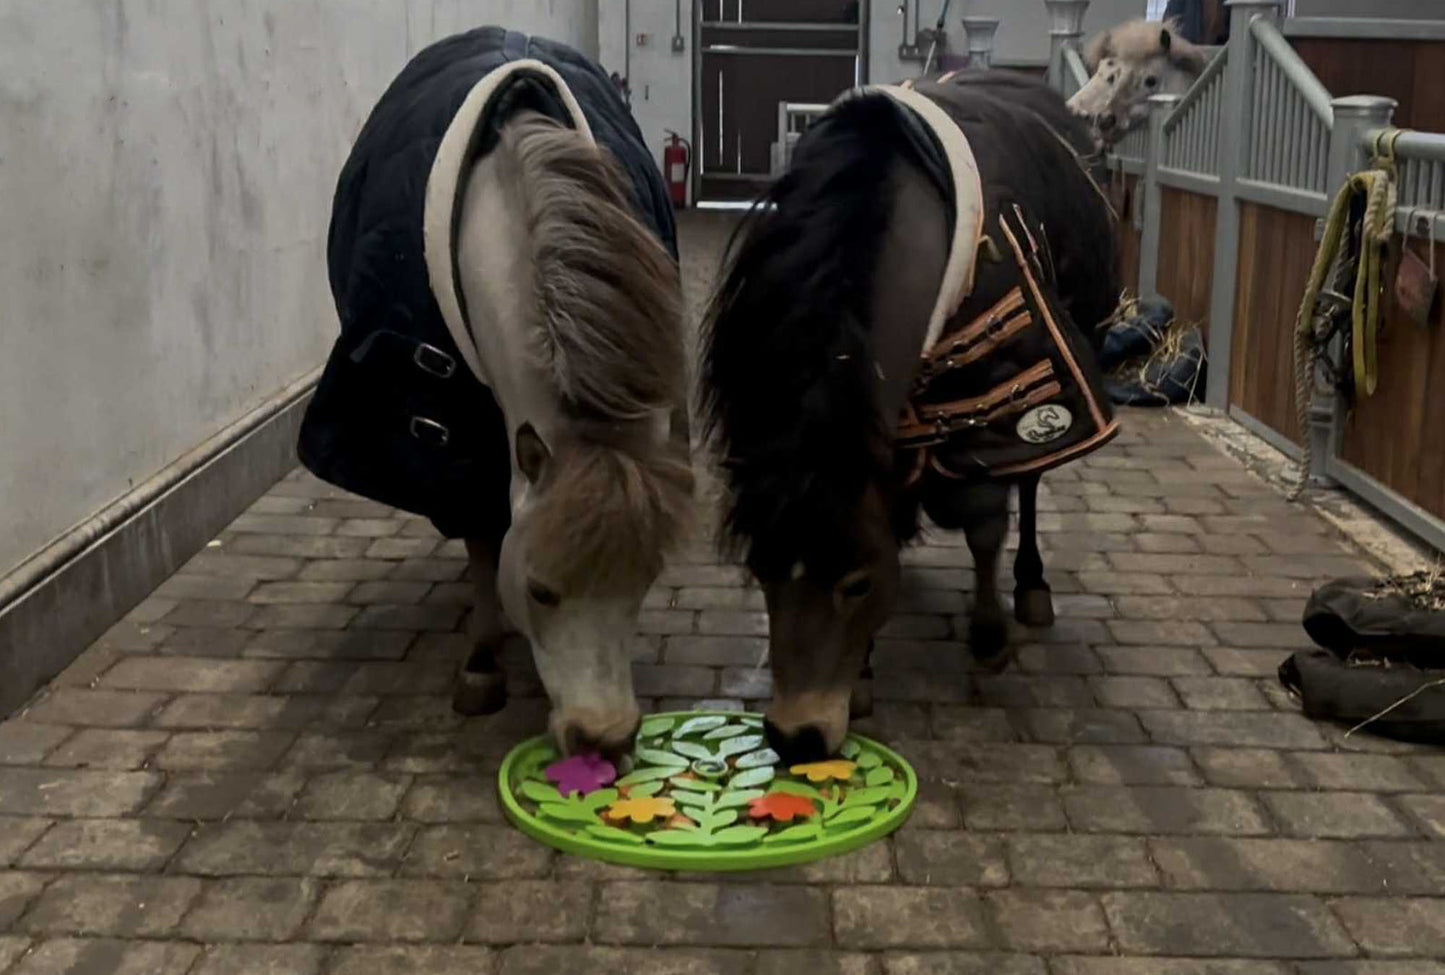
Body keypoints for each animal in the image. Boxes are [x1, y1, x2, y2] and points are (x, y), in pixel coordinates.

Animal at [299, 29, 692, 757]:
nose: (604, 738)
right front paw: (482, 664)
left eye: (644, 584)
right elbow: (483, 536)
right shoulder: (449, 432)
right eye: (539, 589)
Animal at [701, 71, 1120, 762]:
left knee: (1030, 491)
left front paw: (988, 638)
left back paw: (1031, 587)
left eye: (859, 584)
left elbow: (986, 526)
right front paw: (865, 674)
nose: (796, 736)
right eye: (761, 571)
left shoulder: (1005, 406)